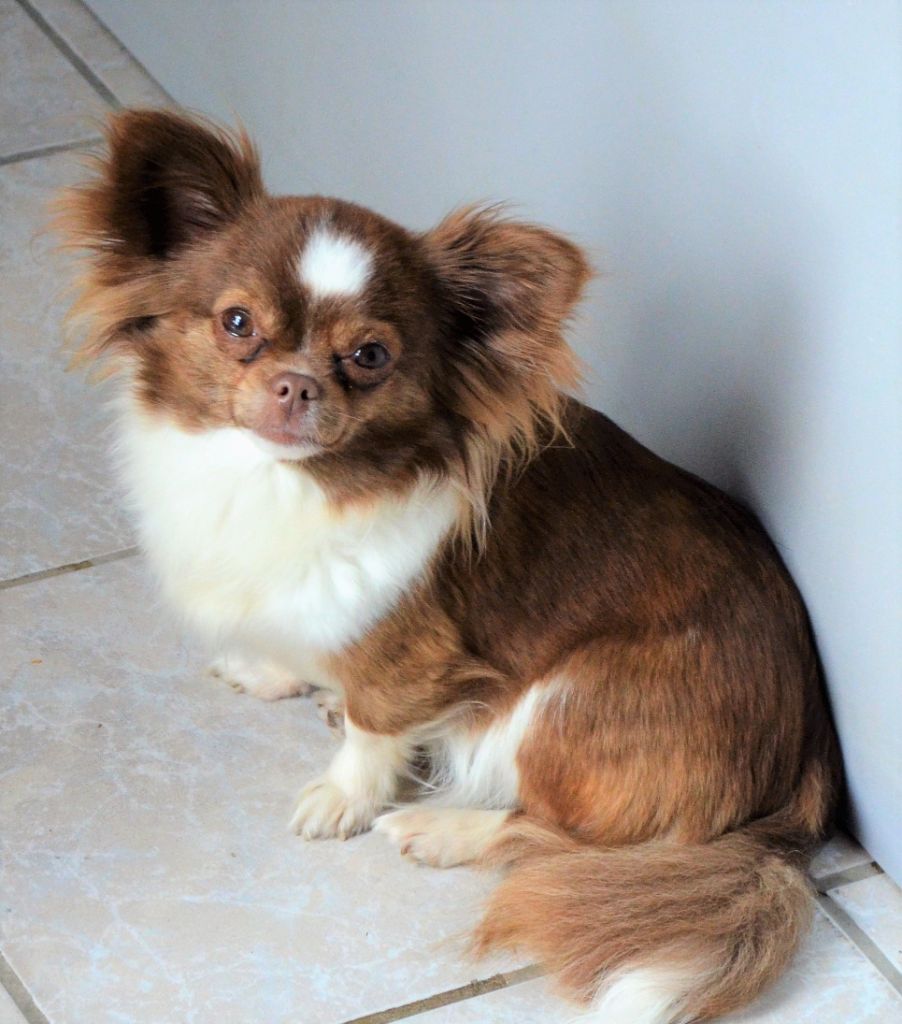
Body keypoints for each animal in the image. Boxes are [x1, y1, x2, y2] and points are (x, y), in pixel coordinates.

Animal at [57, 109, 840, 1024]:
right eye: (237, 323)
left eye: (369, 356)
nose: (294, 384)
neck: (286, 481)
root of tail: (806, 775)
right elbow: (305, 650)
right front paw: (274, 673)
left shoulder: (408, 649)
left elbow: (373, 727)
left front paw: (344, 795)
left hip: (568, 705)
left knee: (562, 838)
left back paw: (442, 829)